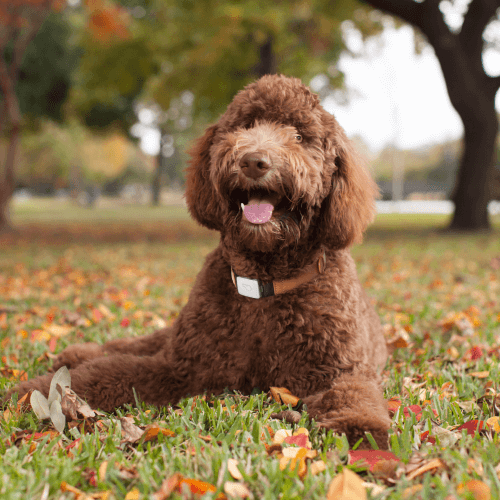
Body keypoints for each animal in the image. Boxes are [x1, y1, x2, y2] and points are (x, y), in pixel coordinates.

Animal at [5, 74, 392, 450]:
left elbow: (353, 395)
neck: (263, 287)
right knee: (132, 344)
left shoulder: (339, 370)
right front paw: (27, 393)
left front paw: (362, 430)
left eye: (298, 136)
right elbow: (107, 371)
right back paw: (77, 351)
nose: (253, 161)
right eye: (246, 126)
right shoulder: (183, 366)